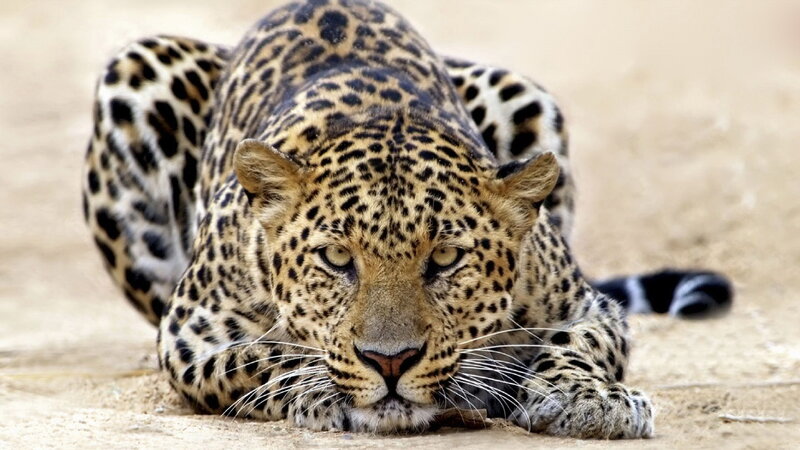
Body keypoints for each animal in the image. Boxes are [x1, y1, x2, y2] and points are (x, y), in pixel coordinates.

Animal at [82, 0, 733, 439]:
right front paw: (324, 390)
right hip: (136, 71)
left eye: (444, 259)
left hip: (522, 92)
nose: (390, 362)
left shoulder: (586, 305)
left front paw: (587, 398)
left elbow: (579, 344)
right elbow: (266, 357)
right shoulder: (191, 336)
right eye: (336, 258)